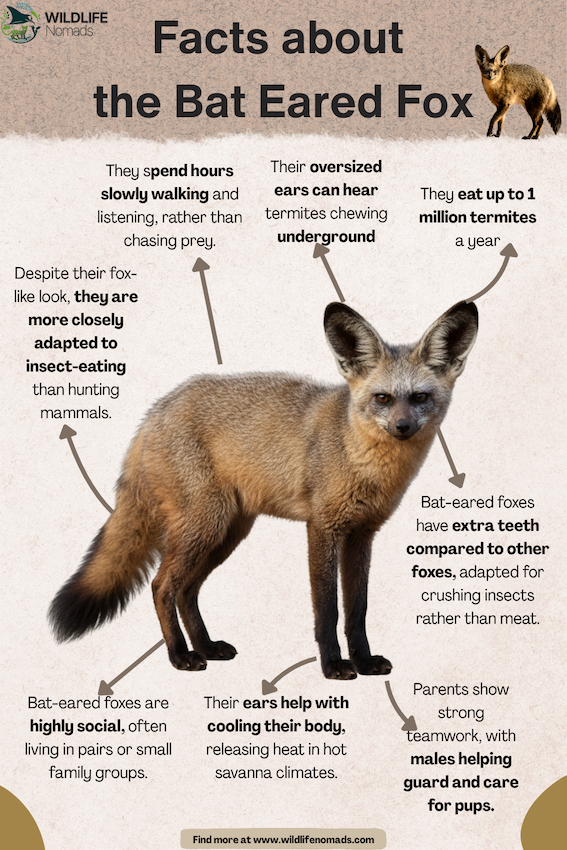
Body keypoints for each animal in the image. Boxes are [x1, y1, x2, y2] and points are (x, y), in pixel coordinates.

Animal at [49, 300, 478, 680]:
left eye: (420, 397)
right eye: (383, 398)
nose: (403, 427)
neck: (362, 462)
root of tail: (155, 410)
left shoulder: (362, 534)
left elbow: (357, 610)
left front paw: (364, 661)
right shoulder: (322, 528)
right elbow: (327, 610)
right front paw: (334, 666)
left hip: (226, 533)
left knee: (186, 591)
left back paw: (206, 647)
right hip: (205, 527)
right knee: (161, 586)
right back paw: (180, 655)